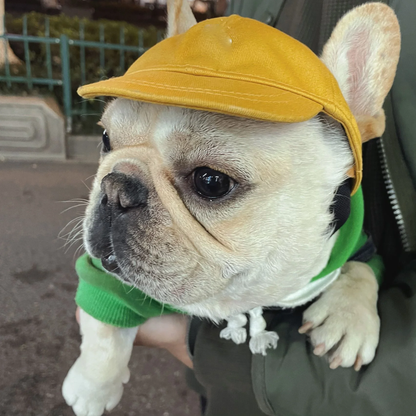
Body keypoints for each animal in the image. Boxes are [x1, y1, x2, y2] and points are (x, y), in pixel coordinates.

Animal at [61, 1, 400, 414]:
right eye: (106, 140)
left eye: (211, 181)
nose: (114, 187)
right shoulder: (103, 274)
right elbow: (104, 327)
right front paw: (92, 387)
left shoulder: (355, 242)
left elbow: (362, 269)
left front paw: (349, 319)